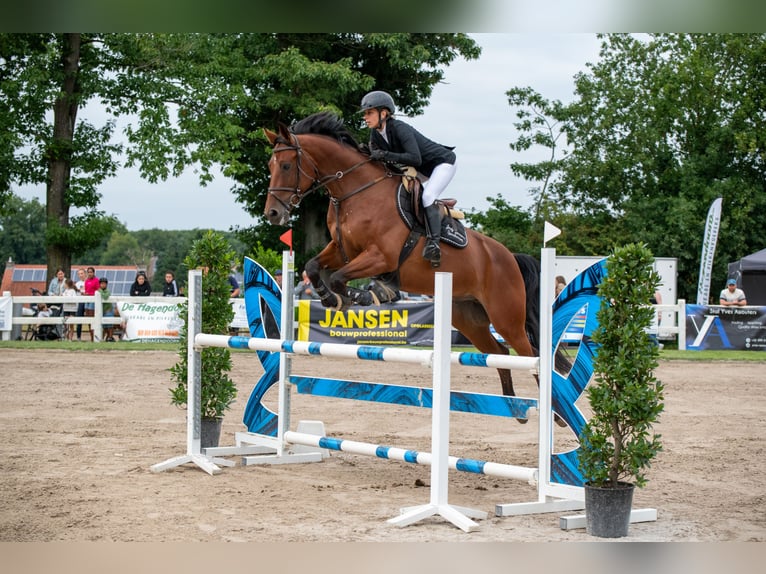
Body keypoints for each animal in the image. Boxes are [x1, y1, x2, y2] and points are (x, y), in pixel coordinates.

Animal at [263, 111, 546, 403]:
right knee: (500, 354)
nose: (272, 214)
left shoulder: (380, 256)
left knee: (531, 356)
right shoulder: (343, 251)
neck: (355, 191)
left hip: (506, 317)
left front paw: (368, 295)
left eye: (286, 166)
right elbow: (314, 267)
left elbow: (341, 278)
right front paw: (333, 298)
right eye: (271, 166)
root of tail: (509, 257)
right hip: (469, 318)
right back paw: (512, 404)